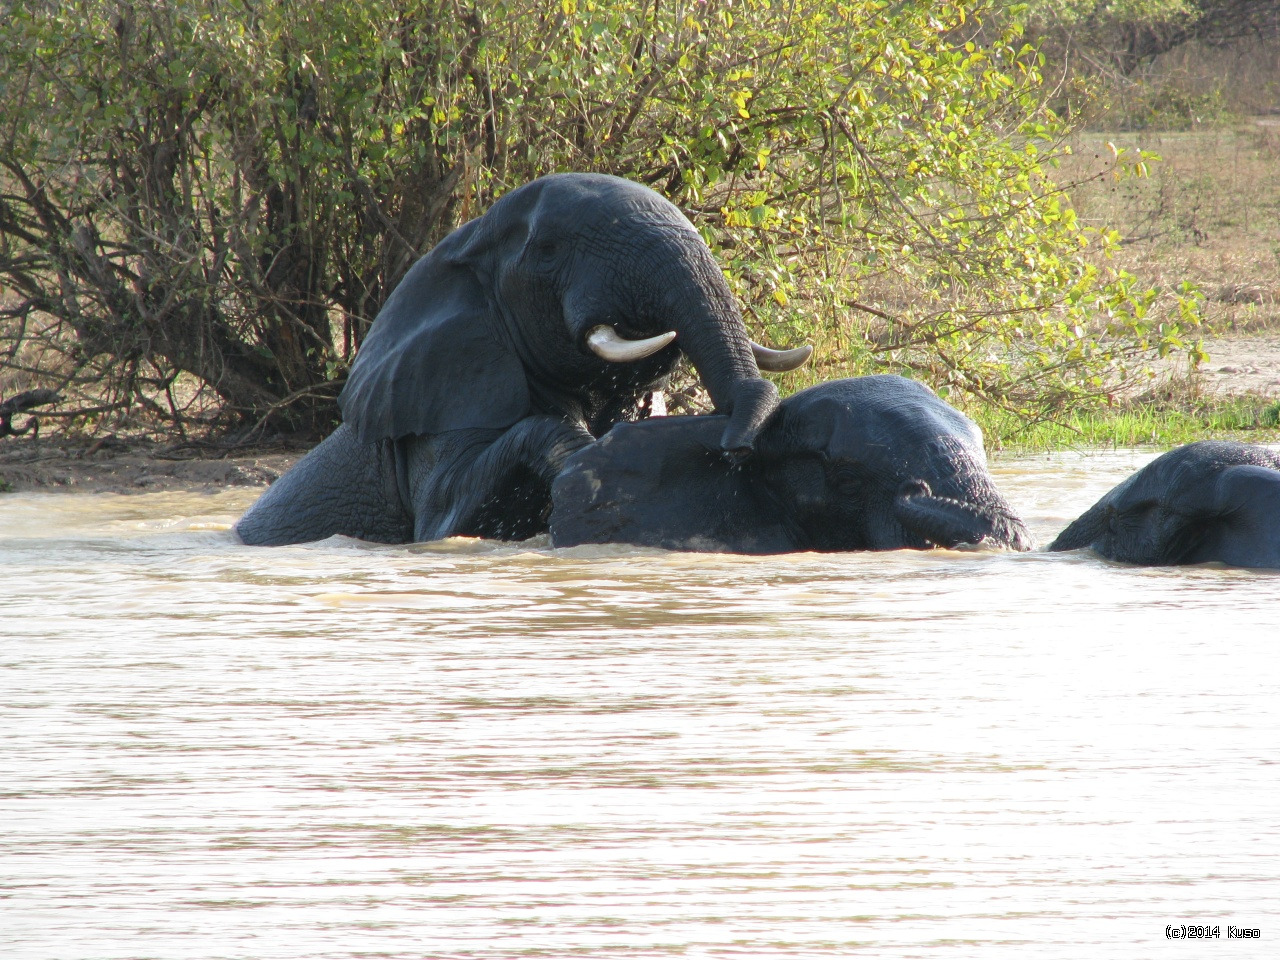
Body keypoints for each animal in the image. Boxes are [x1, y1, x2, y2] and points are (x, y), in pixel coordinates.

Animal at [235, 174, 803, 547]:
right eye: (548, 251)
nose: (736, 450)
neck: (465, 243)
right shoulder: (449, 397)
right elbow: (443, 519)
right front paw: (588, 461)